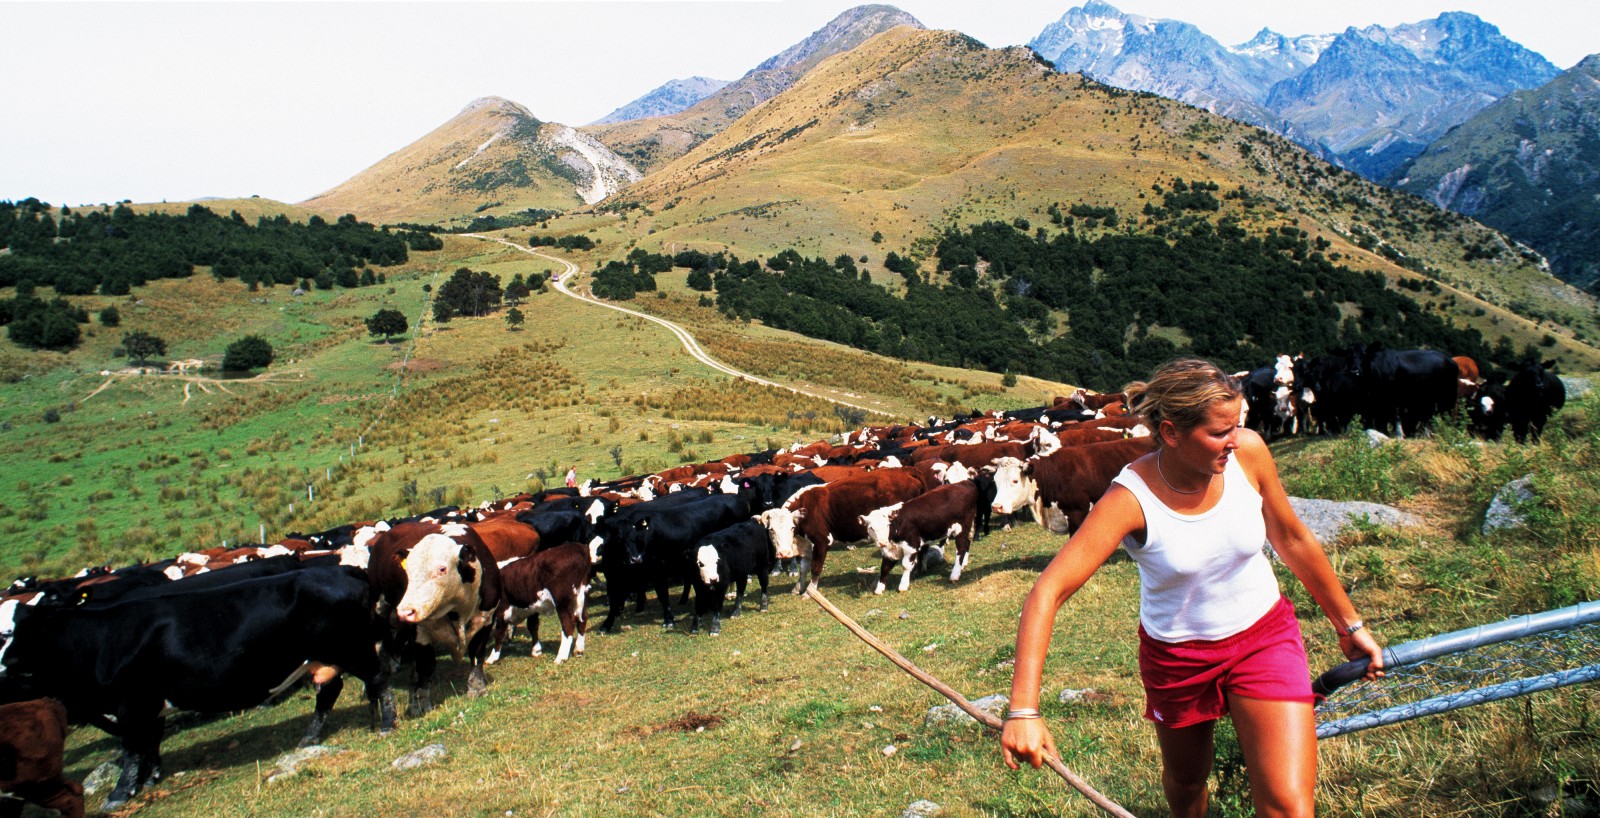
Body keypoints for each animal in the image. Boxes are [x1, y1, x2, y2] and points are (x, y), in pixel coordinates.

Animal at [0, 566, 387, 809]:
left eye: (14, 635)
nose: (4, 664)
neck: (98, 640)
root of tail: (343, 570)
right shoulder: (148, 704)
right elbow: (150, 742)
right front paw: (151, 777)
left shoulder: (130, 702)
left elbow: (131, 749)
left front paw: (121, 793)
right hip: (323, 658)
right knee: (332, 690)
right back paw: (312, 736)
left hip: (352, 649)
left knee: (377, 678)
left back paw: (384, 723)